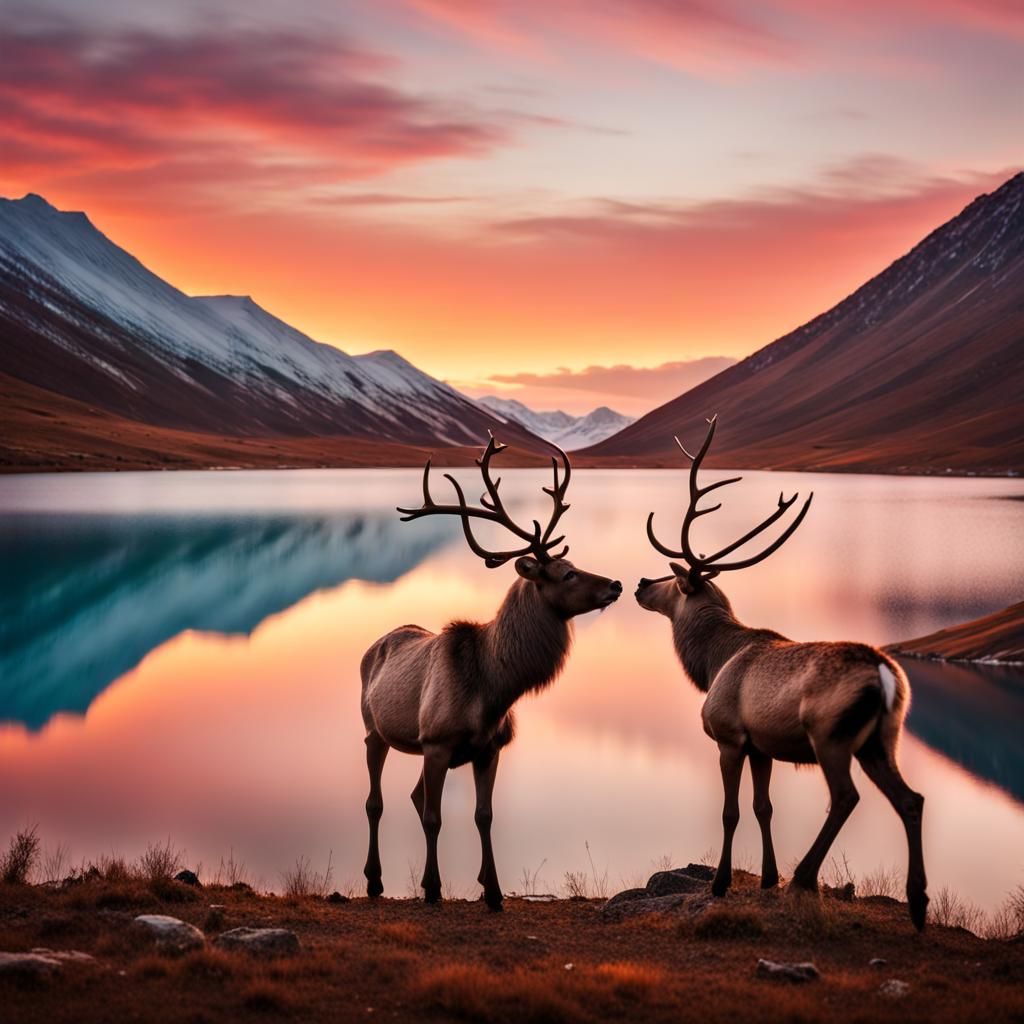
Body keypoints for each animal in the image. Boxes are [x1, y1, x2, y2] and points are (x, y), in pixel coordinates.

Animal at [360, 434, 622, 910]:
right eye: (567, 574)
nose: (615, 584)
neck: (494, 691)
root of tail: (373, 647)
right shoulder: (437, 742)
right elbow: (434, 818)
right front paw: (432, 888)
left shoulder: (490, 748)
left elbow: (484, 815)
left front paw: (494, 891)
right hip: (374, 731)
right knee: (377, 801)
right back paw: (374, 880)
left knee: (412, 795)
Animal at [634, 416, 928, 930]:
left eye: (673, 580)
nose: (639, 583)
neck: (711, 663)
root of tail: (884, 675)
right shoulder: (761, 745)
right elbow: (763, 807)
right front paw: (768, 878)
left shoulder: (729, 736)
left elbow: (731, 812)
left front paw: (722, 882)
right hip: (881, 739)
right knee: (911, 799)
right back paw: (917, 903)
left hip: (830, 736)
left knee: (846, 798)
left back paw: (805, 879)